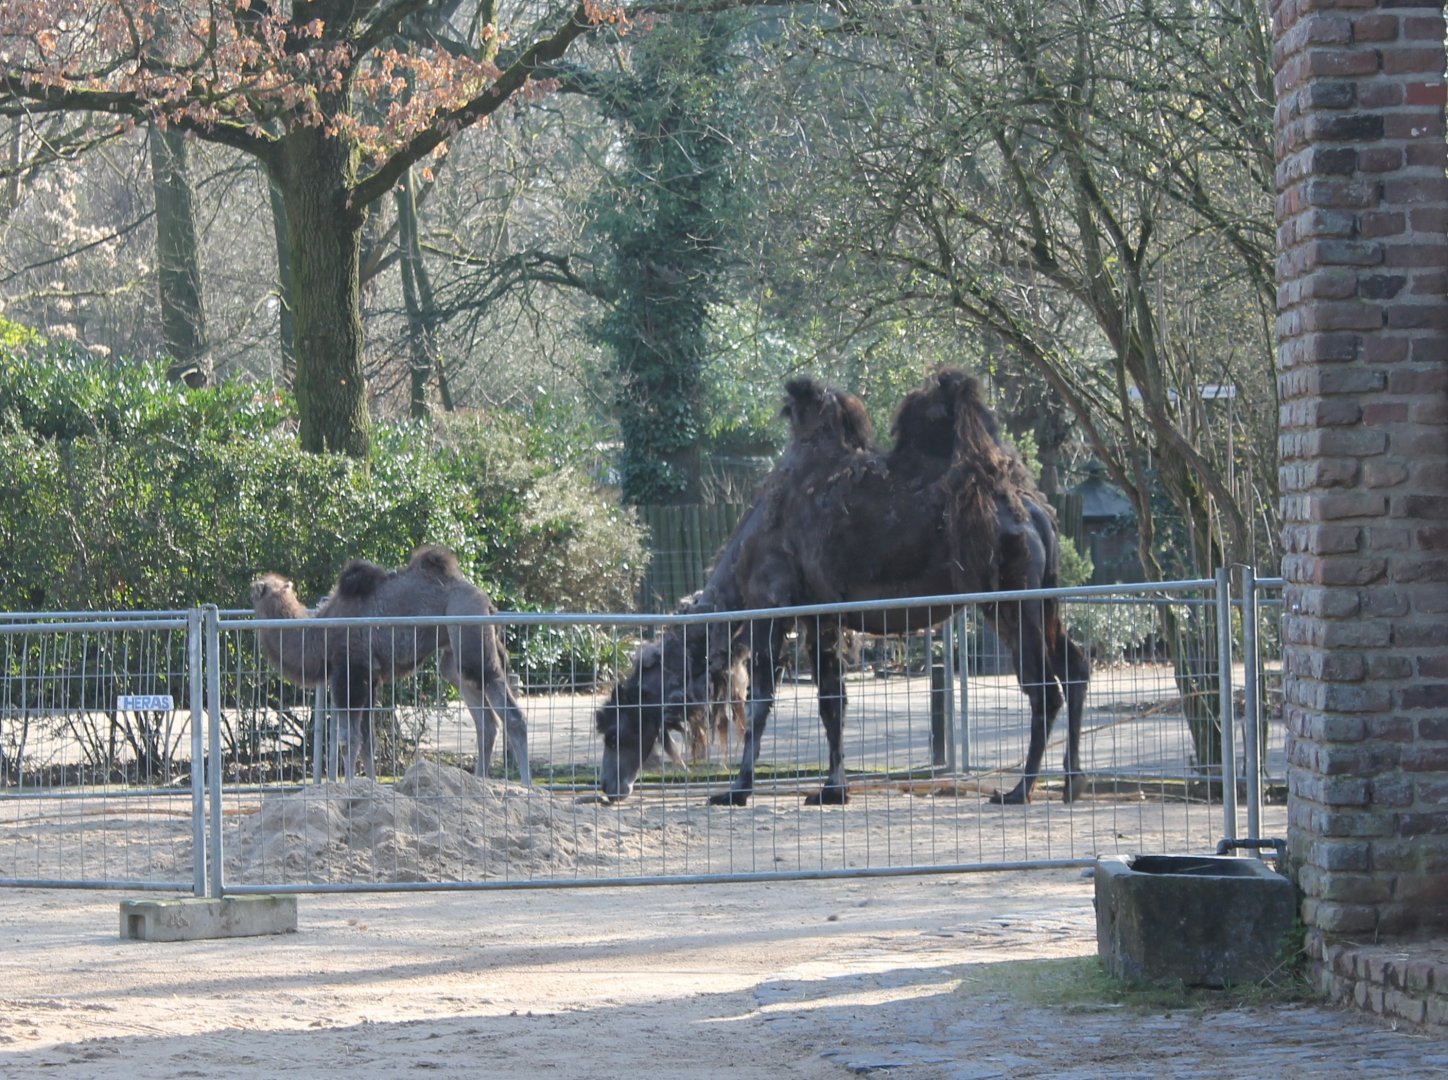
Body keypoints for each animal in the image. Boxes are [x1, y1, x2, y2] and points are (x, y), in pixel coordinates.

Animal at [251, 545, 531, 785]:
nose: (253, 587)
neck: (320, 635)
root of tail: (488, 604)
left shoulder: (351, 671)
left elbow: (348, 739)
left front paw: (350, 786)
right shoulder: (370, 676)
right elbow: (368, 741)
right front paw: (371, 786)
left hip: (469, 629)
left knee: (509, 711)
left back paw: (525, 786)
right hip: (454, 653)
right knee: (485, 721)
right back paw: (479, 784)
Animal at [596, 368, 1089, 806]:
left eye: (614, 729)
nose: (608, 786)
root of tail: (1035, 512)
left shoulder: (769, 605)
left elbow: (760, 702)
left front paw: (736, 791)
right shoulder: (821, 614)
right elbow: (831, 701)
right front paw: (833, 790)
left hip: (1009, 595)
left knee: (1043, 686)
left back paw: (1019, 790)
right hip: (1043, 593)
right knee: (1076, 666)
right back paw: (1070, 783)